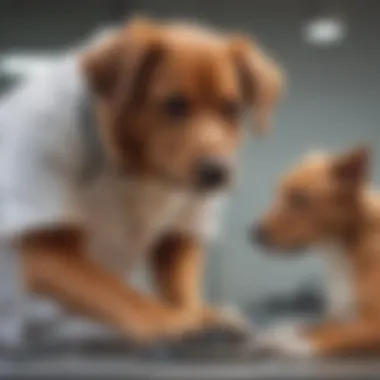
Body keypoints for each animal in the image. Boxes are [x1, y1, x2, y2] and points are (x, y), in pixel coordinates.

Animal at [0, 18, 282, 348]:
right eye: (174, 105)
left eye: (232, 108)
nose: (217, 172)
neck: (139, 168)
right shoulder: (49, 250)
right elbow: (121, 295)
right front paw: (172, 323)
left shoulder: (180, 232)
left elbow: (181, 289)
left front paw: (197, 316)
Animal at [251, 145, 380, 356]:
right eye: (276, 193)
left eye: (300, 199)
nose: (253, 233)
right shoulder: (338, 315)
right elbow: (317, 326)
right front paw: (286, 330)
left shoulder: (372, 325)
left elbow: (330, 335)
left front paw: (284, 340)